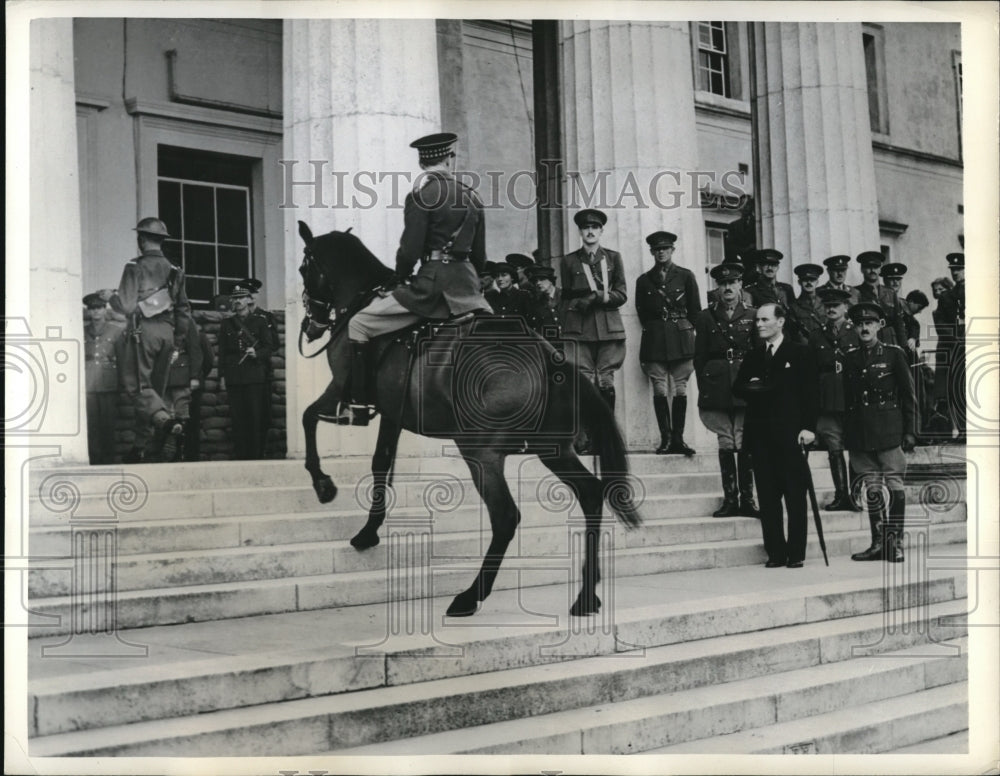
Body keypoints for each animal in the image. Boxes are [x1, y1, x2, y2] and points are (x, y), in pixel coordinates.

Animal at [296, 221, 640, 616]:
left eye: (304, 268)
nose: (311, 326)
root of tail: (551, 358)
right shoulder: (392, 413)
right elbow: (381, 462)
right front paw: (368, 531)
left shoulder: (339, 386)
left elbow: (307, 417)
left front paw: (323, 485)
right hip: (553, 450)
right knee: (591, 495)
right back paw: (586, 594)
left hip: (481, 452)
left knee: (506, 517)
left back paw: (471, 595)